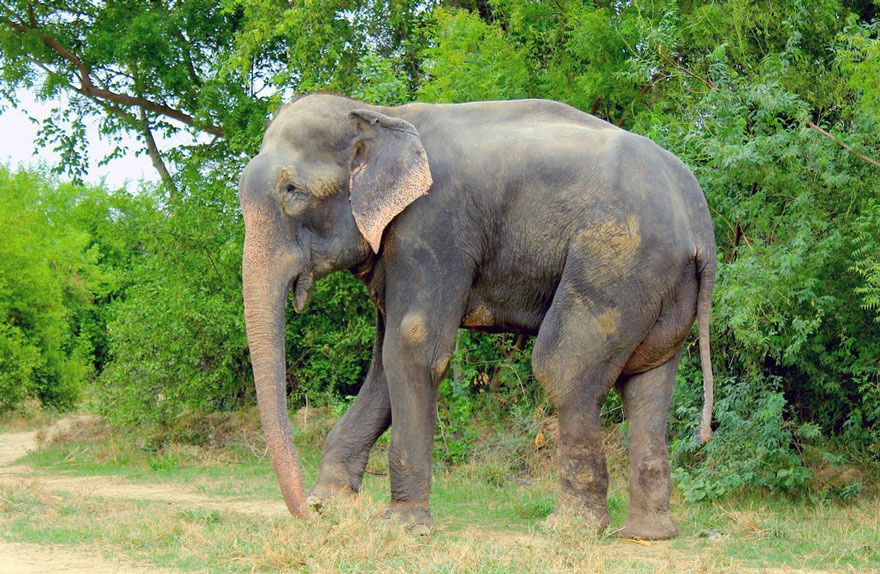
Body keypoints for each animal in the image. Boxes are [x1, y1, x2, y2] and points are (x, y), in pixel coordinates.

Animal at [239, 92, 716, 544]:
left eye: (292, 191)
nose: (305, 514)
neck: (379, 112)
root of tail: (700, 223)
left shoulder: (433, 226)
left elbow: (413, 345)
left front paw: (403, 527)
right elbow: (384, 366)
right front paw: (331, 503)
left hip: (618, 259)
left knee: (562, 366)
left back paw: (570, 528)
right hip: (662, 284)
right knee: (647, 381)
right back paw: (647, 533)